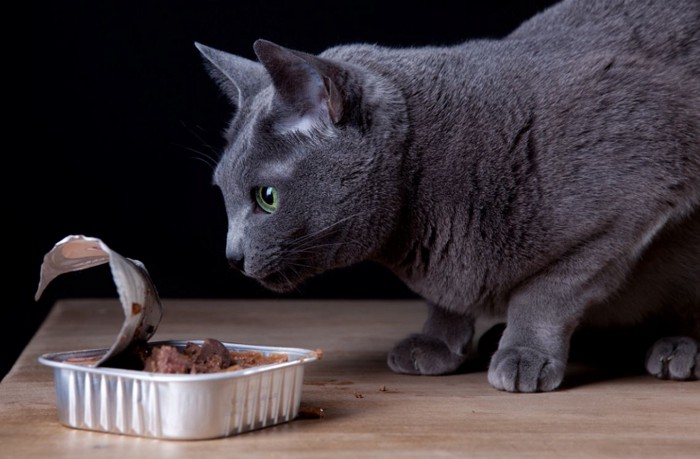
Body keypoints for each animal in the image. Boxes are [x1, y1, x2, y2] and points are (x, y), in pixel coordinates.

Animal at [196, 0, 700, 394]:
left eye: (266, 197)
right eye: (222, 192)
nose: (231, 256)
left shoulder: (633, 206)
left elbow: (547, 291)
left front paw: (523, 354)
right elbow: (447, 301)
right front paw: (437, 343)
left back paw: (679, 350)